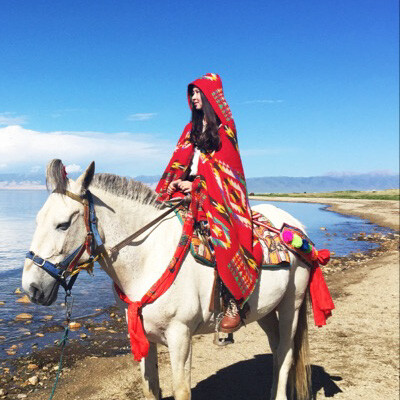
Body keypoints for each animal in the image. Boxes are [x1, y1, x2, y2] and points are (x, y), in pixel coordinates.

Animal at [22, 161, 312, 400]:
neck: (148, 258)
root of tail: (296, 227)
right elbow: (149, 388)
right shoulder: (141, 334)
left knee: (286, 353)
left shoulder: (180, 335)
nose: (31, 287)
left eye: (62, 224)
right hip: (266, 310)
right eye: (36, 220)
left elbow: (182, 390)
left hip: (292, 304)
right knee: (276, 348)